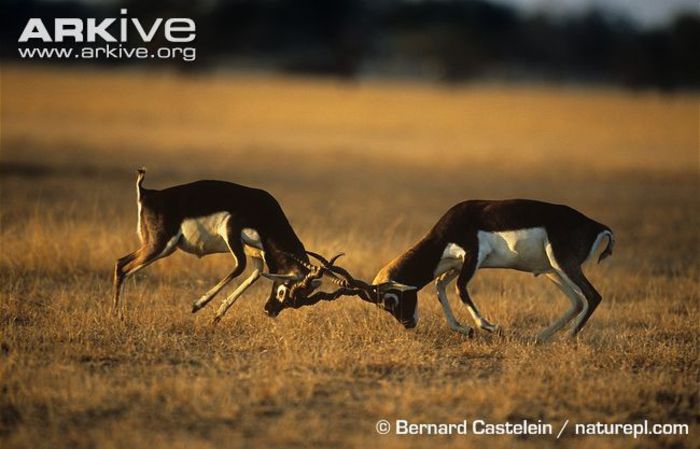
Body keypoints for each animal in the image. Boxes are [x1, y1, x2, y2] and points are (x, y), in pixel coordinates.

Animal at [113, 170, 344, 320]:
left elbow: (255, 274)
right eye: (283, 291)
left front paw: (217, 315)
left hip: (159, 247)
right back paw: (117, 317)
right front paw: (197, 305)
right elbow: (240, 267)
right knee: (123, 266)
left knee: (121, 262)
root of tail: (147, 193)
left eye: (297, 301)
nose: (270, 311)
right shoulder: (231, 230)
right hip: (160, 245)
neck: (264, 211)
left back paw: (119, 316)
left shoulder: (256, 251)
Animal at [300, 199, 612, 340]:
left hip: (562, 265)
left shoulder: (473, 256)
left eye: (390, 299)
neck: (445, 232)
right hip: (551, 271)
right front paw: (464, 329)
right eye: (380, 305)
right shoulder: (454, 265)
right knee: (576, 301)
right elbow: (440, 289)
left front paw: (489, 326)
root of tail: (598, 225)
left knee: (592, 296)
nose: (408, 323)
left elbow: (461, 290)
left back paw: (567, 339)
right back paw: (541, 338)